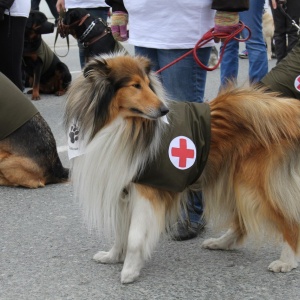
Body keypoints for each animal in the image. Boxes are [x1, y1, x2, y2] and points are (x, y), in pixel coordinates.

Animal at [64, 52, 300, 282]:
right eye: (135, 85)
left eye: (148, 84)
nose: (164, 110)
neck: (122, 125)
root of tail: (278, 108)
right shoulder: (124, 191)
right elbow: (121, 232)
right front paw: (113, 256)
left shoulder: (146, 192)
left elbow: (134, 236)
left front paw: (129, 270)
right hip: (231, 181)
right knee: (242, 222)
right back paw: (221, 243)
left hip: (253, 185)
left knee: (289, 221)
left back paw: (286, 261)